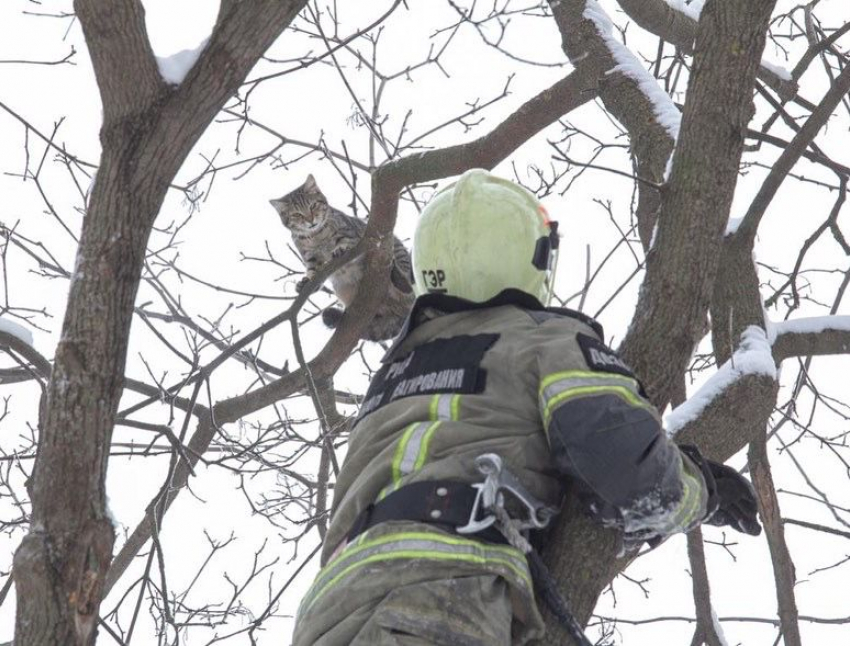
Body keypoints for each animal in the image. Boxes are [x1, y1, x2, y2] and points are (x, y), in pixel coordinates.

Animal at [268, 175, 414, 342]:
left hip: (397, 252)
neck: (315, 236)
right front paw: (305, 283)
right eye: (297, 214)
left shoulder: (353, 235)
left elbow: (346, 242)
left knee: (407, 286)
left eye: (313, 206)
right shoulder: (311, 258)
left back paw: (398, 276)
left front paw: (340, 249)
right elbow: (313, 273)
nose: (311, 221)